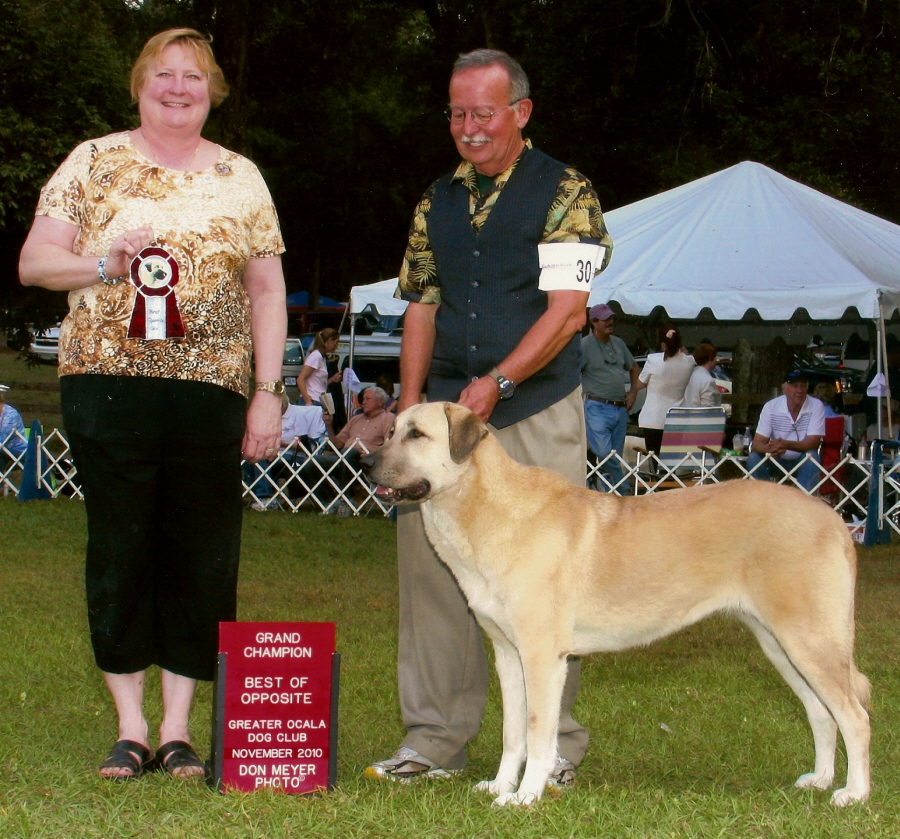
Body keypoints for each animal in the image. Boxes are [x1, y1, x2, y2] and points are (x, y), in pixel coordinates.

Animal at [360, 404, 872, 812]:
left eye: (417, 435)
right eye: (390, 431)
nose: (365, 462)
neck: (485, 509)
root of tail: (832, 516)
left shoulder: (543, 657)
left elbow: (539, 732)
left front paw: (525, 797)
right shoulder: (507, 654)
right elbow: (512, 733)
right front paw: (501, 786)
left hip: (810, 642)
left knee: (855, 716)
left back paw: (854, 794)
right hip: (782, 646)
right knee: (822, 714)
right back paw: (821, 780)